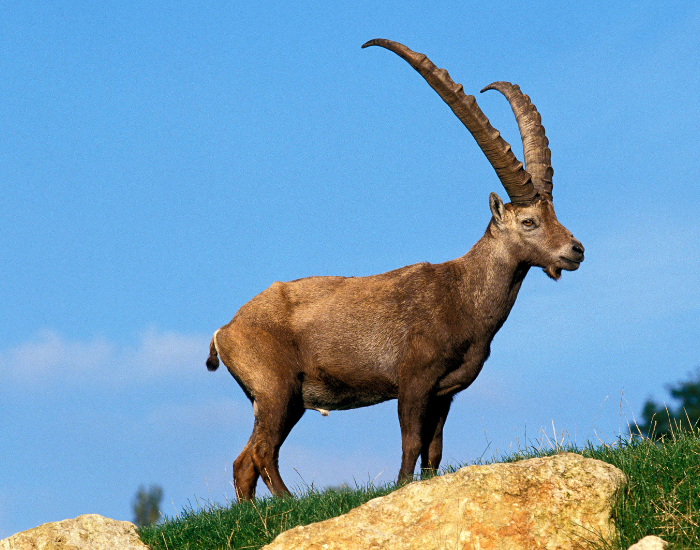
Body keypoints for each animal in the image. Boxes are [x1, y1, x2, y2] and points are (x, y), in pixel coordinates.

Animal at [206, 39, 585, 500]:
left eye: (555, 214)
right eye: (529, 221)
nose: (575, 251)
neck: (461, 295)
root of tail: (225, 330)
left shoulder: (444, 393)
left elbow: (434, 451)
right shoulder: (413, 380)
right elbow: (411, 442)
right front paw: (400, 488)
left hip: (280, 400)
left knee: (244, 460)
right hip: (277, 389)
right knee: (262, 452)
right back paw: (288, 503)